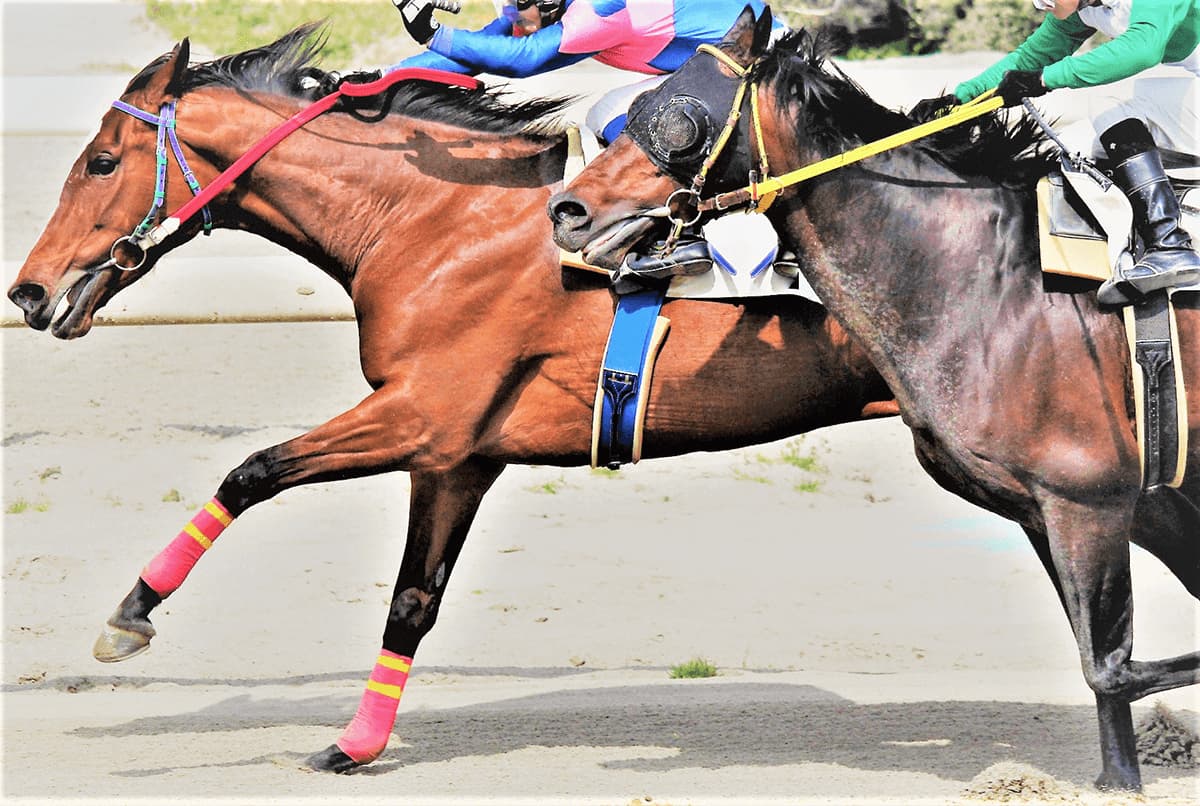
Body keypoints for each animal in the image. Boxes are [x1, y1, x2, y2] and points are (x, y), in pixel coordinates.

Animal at [7, 24, 896, 773]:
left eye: (101, 163)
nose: (28, 292)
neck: (432, 221)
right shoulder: (458, 457)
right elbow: (411, 600)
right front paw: (356, 744)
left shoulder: (420, 415)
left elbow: (253, 470)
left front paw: (129, 615)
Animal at [549, 7, 1200, 792]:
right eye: (637, 106)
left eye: (679, 117)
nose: (567, 210)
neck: (992, 282)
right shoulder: (1064, 506)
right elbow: (1105, 662)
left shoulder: (1092, 497)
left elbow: (1111, 667)